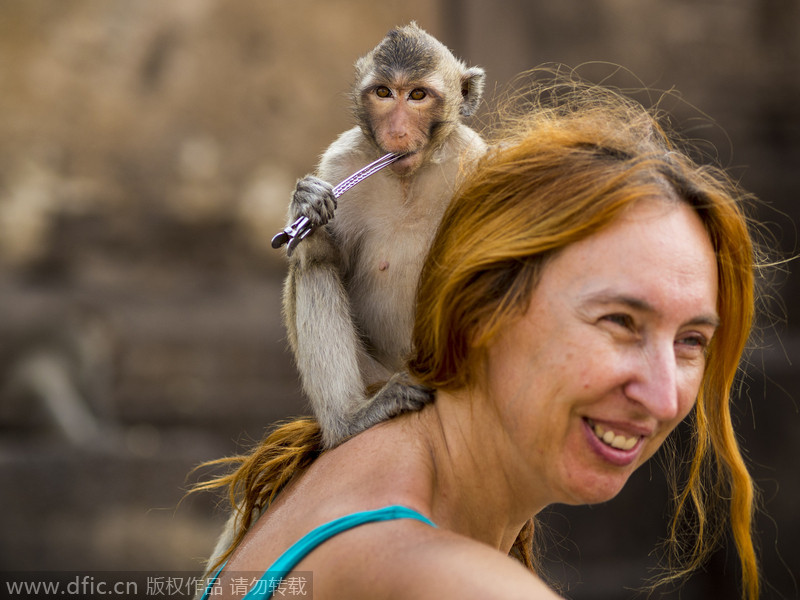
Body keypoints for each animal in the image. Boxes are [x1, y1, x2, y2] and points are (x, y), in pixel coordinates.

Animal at [282, 23, 488, 450]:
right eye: (383, 93)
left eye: (417, 95)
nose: (396, 130)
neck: (409, 176)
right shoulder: (342, 162)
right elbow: (328, 257)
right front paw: (306, 204)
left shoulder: (474, 161)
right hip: (373, 374)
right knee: (314, 268)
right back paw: (349, 420)